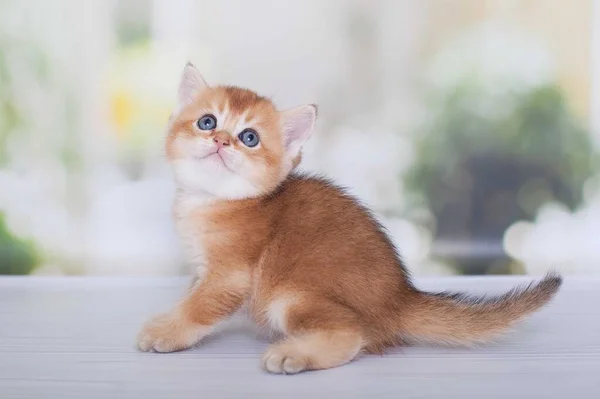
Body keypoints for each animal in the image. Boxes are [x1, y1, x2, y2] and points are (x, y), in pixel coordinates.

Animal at [136, 62, 564, 376]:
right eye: (207, 122)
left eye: (249, 138)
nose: (221, 141)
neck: (213, 200)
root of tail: (401, 298)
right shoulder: (202, 269)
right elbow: (190, 296)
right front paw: (170, 317)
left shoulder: (230, 275)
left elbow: (200, 307)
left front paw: (166, 332)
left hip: (291, 296)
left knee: (350, 334)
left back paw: (294, 355)